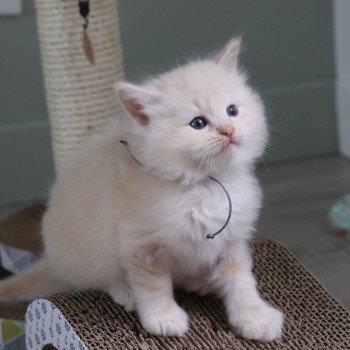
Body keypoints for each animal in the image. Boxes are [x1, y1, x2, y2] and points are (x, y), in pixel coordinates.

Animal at [0, 38, 284, 342]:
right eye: (198, 123)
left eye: (232, 110)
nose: (229, 130)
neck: (204, 185)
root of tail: (52, 260)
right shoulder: (143, 247)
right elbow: (153, 286)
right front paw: (164, 319)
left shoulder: (233, 240)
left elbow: (241, 282)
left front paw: (254, 317)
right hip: (90, 251)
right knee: (100, 279)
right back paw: (125, 291)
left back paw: (200, 282)